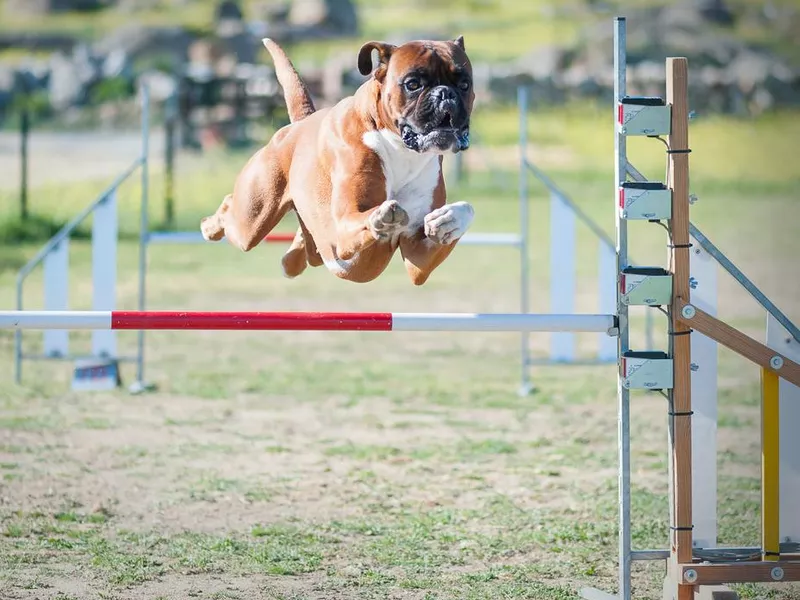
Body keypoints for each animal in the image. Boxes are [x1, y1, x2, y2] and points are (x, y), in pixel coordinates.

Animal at [200, 35, 476, 284]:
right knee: (230, 209)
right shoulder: (345, 227)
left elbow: (466, 209)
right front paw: (381, 218)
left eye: (464, 84)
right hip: (250, 222)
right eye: (413, 83)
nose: (445, 94)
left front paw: (449, 219)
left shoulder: (419, 261)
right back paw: (209, 226)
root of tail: (299, 124)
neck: (401, 150)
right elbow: (365, 218)